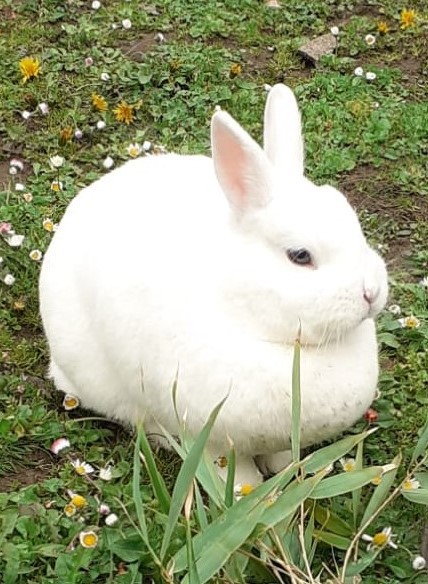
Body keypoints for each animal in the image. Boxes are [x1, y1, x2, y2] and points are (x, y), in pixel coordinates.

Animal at [39, 84, 388, 485]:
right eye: (300, 256)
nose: (371, 292)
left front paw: (287, 470)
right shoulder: (209, 437)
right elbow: (228, 471)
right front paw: (247, 493)